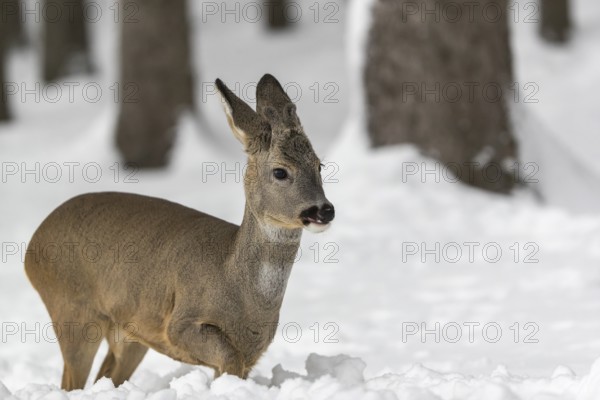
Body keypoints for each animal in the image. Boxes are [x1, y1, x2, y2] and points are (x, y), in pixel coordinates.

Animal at [24, 73, 332, 390]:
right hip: (71, 307)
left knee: (106, 376)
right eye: (280, 171)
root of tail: (32, 244)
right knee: (71, 380)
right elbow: (226, 356)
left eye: (319, 165)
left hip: (127, 330)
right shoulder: (180, 324)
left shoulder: (251, 352)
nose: (324, 210)